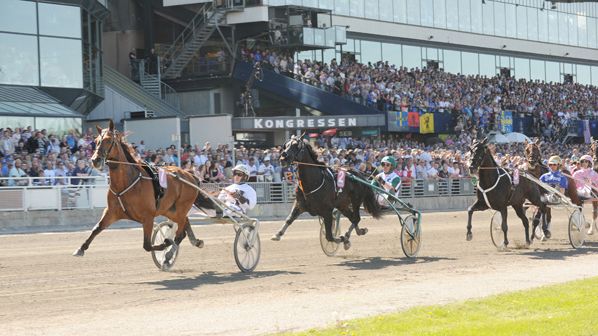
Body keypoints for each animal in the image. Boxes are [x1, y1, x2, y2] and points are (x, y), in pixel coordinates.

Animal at [71, 121, 204, 262]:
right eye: (96, 141)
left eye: (108, 140)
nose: (95, 160)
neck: (125, 183)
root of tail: (191, 176)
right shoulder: (111, 212)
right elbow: (97, 228)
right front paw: (80, 248)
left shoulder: (148, 217)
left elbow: (147, 245)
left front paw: (166, 242)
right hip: (170, 210)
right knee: (184, 224)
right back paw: (195, 241)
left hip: (181, 208)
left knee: (180, 232)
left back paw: (169, 254)